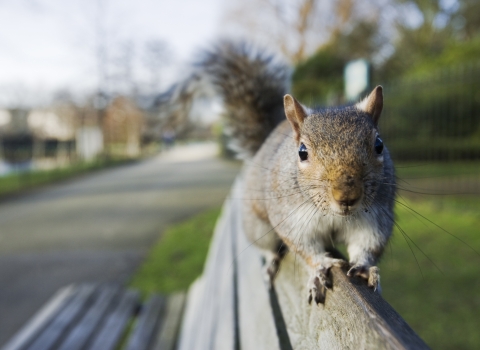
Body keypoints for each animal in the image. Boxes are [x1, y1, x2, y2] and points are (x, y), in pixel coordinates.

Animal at [163, 41, 396, 304]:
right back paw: (272, 262)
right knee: (269, 247)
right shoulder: (290, 216)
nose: (346, 196)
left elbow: (368, 243)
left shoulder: (375, 216)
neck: (333, 214)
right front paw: (321, 266)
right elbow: (303, 246)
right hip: (259, 228)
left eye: (379, 145)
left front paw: (365, 268)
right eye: (302, 152)